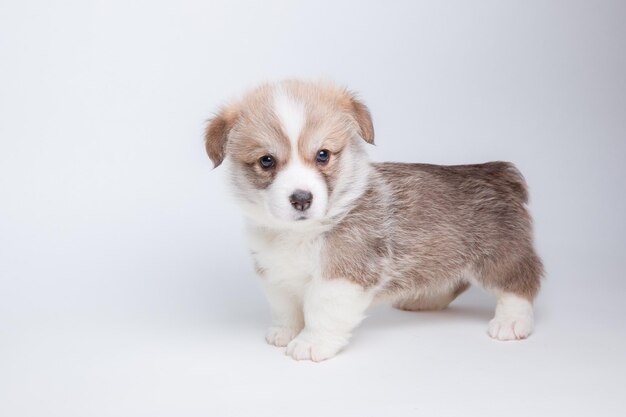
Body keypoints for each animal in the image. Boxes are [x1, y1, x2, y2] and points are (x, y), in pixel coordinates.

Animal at [205, 79, 540, 360]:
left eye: (323, 155)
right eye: (266, 161)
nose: (301, 198)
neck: (299, 233)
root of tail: (498, 172)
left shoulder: (342, 274)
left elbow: (322, 311)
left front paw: (311, 343)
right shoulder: (275, 273)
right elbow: (284, 306)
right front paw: (284, 332)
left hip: (499, 257)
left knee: (521, 281)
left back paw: (511, 322)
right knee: (452, 281)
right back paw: (424, 300)